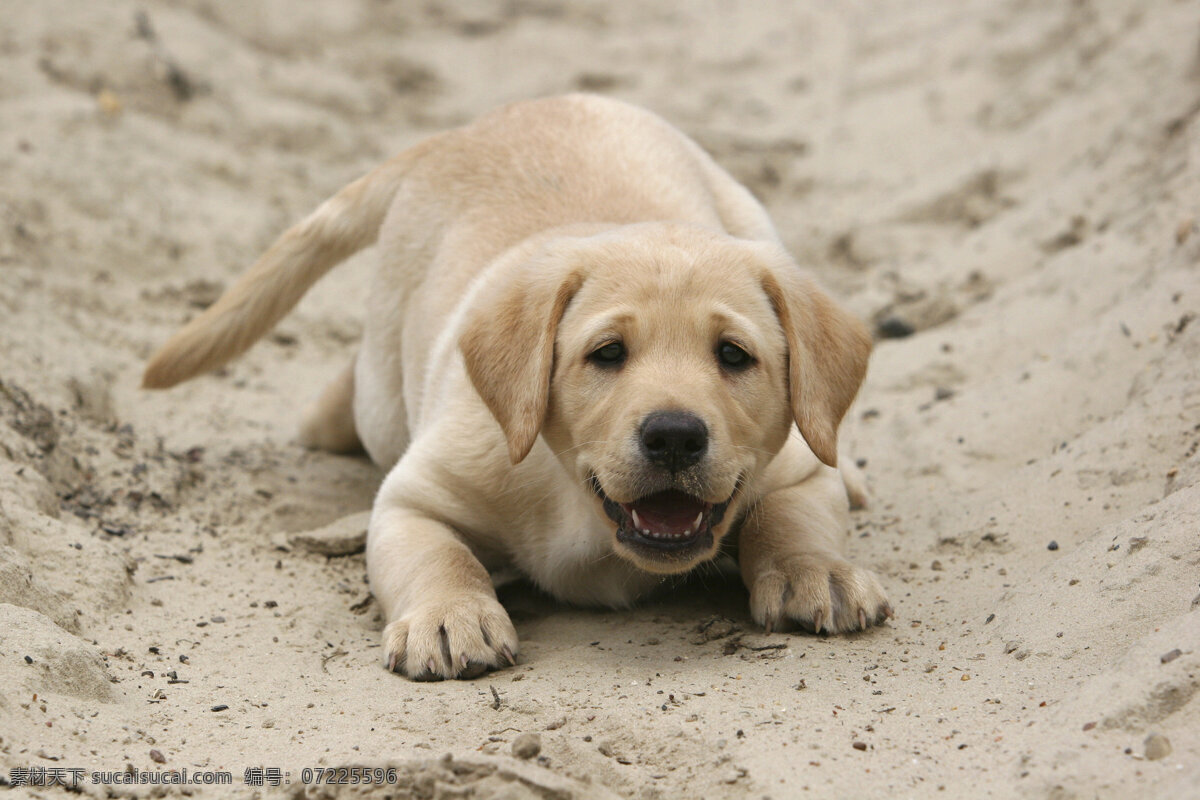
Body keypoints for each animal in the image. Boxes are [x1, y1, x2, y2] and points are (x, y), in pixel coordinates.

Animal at [142, 95, 892, 681]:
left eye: (734, 356)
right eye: (607, 353)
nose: (675, 437)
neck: (583, 513)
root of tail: (463, 131)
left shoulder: (793, 472)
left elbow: (788, 516)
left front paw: (815, 570)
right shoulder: (413, 495)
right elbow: (438, 553)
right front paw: (451, 615)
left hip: (755, 222)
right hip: (383, 403)